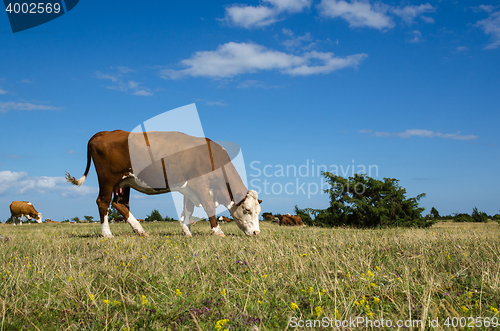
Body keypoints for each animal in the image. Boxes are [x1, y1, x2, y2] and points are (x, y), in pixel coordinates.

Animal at [65, 130, 262, 239]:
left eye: (258, 212)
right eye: (247, 209)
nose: (256, 233)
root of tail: (106, 132)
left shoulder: (189, 189)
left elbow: (187, 210)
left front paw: (187, 232)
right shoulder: (200, 185)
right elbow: (208, 207)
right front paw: (217, 231)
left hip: (124, 182)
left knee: (120, 204)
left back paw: (140, 231)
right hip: (107, 179)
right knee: (103, 202)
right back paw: (107, 234)